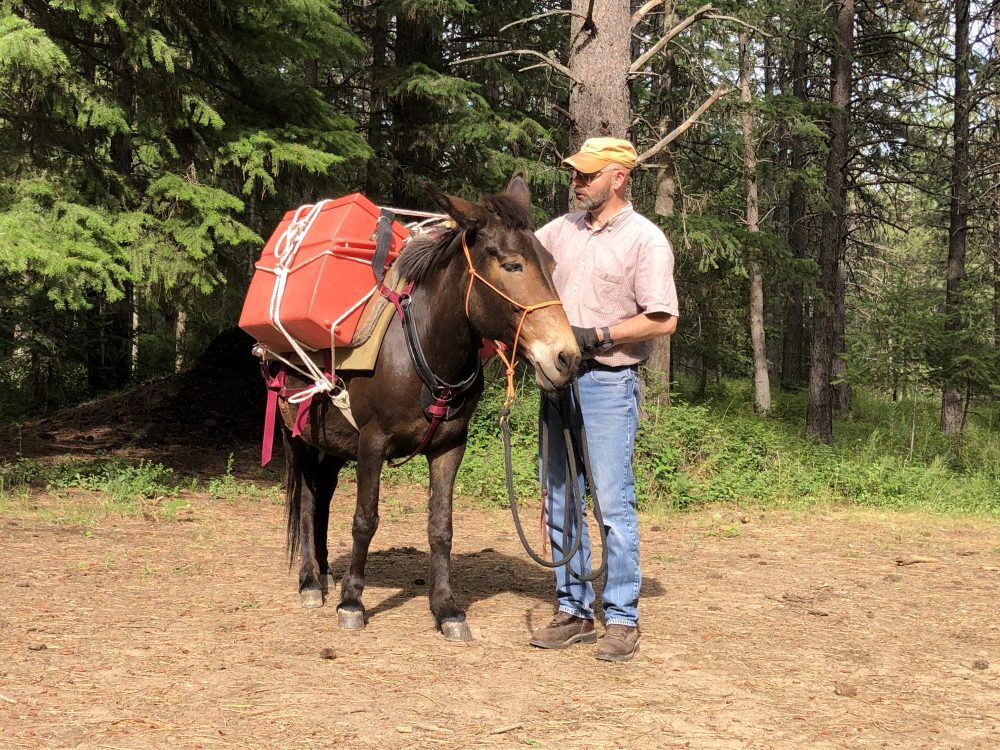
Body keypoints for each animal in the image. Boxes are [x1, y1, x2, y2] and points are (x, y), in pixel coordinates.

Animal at [278, 176, 580, 641]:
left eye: (550, 262)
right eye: (512, 265)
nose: (566, 357)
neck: (422, 346)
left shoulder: (449, 447)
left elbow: (441, 528)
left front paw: (446, 608)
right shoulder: (372, 442)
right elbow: (365, 519)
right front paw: (352, 602)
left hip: (332, 443)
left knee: (323, 494)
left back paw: (325, 572)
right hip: (296, 433)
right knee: (309, 499)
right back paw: (311, 581)